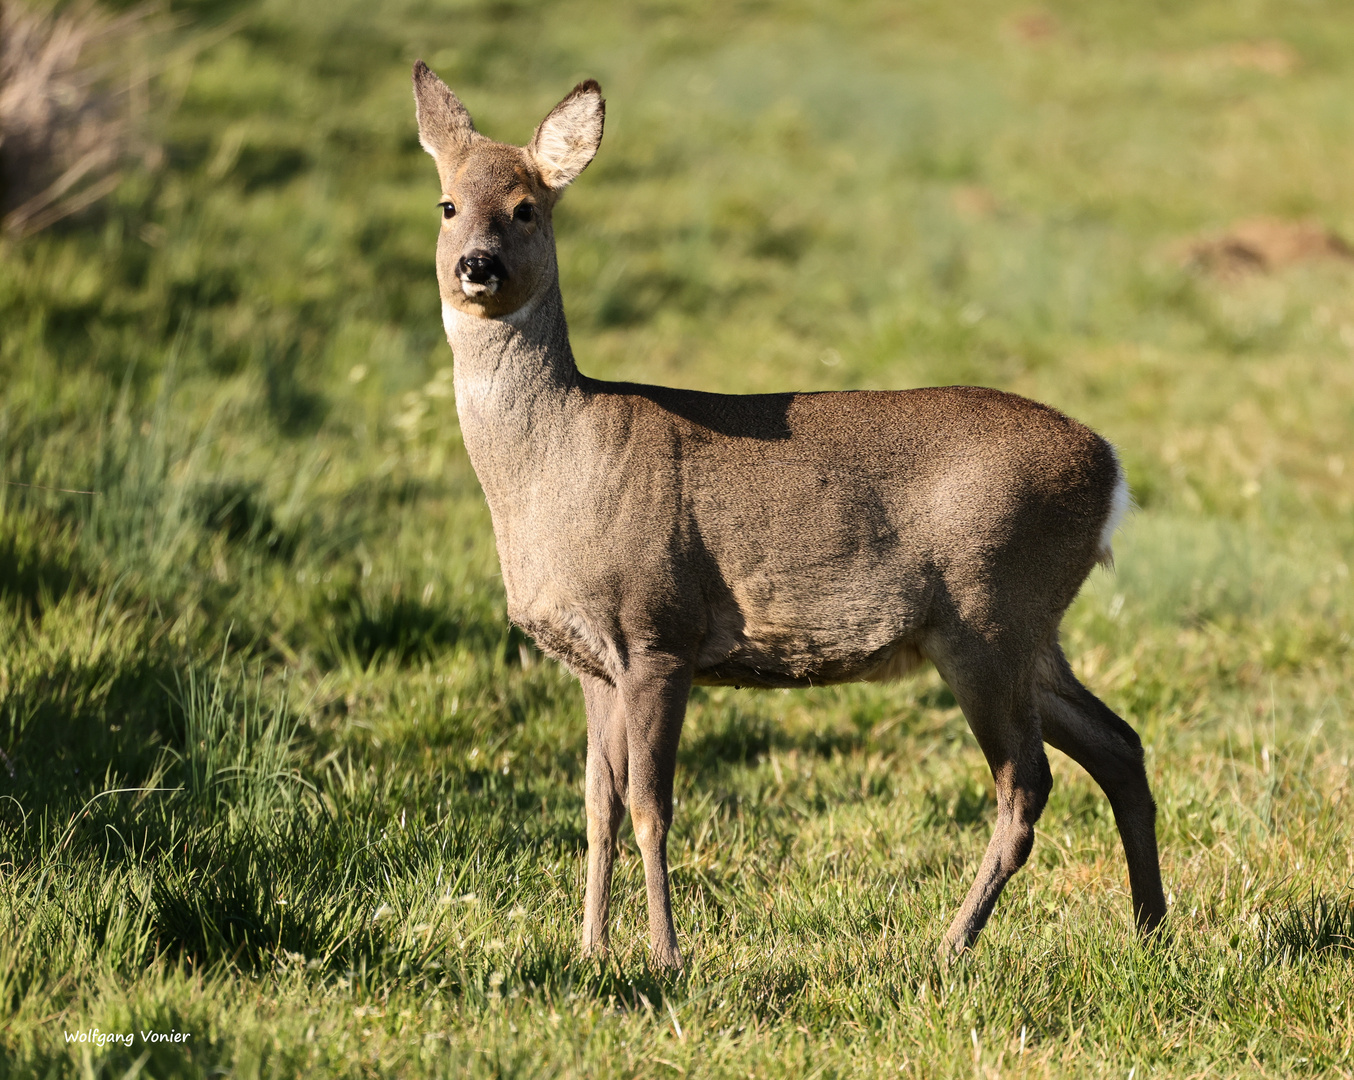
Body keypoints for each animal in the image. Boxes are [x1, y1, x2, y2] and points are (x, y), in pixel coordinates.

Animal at [408, 63, 1164, 969]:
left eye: (527, 207)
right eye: (447, 203)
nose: (477, 266)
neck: (556, 470)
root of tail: (1112, 470)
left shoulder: (658, 629)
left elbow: (650, 807)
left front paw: (665, 956)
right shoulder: (592, 661)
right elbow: (597, 809)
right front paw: (590, 952)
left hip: (991, 612)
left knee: (1028, 784)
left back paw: (949, 946)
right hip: (1022, 629)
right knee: (1118, 743)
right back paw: (1151, 930)